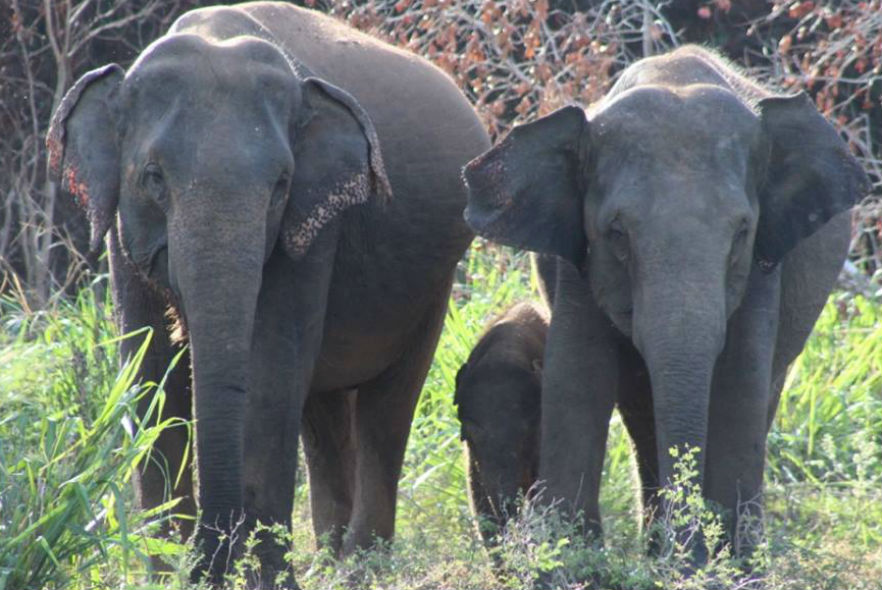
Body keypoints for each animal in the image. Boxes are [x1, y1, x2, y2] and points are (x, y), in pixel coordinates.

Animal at [46, 3, 488, 588]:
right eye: (154, 178)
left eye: (280, 185)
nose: (207, 563)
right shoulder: (122, 230)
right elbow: (150, 368)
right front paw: (169, 571)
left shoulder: (315, 226)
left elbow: (272, 366)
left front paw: (261, 576)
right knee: (323, 415)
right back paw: (328, 561)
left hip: (434, 283)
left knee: (386, 408)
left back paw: (359, 568)